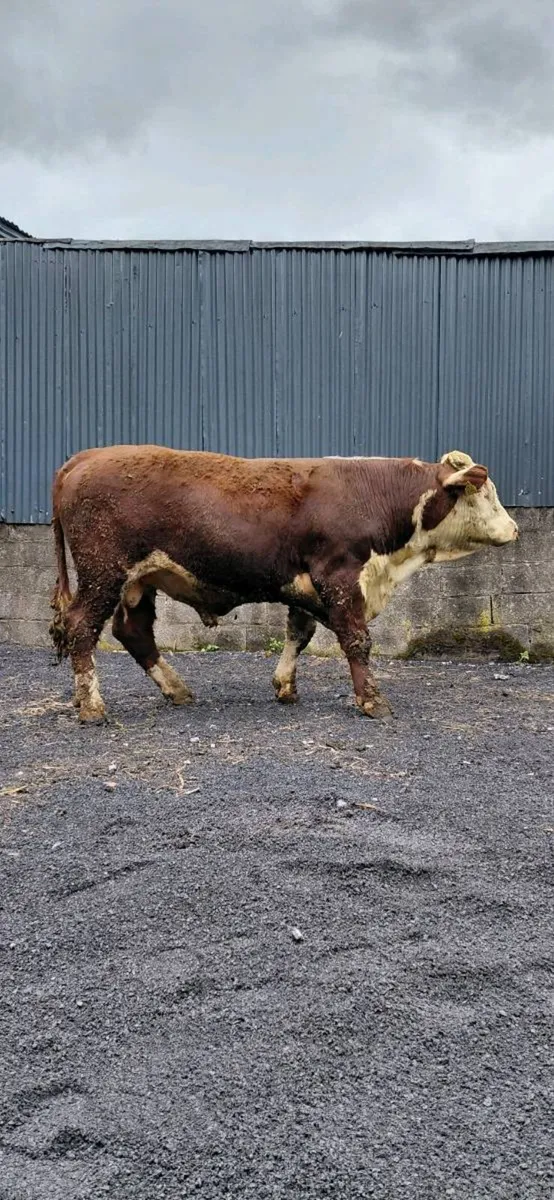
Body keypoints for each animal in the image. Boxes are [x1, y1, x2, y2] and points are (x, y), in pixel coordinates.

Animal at [49, 446, 518, 723]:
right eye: (485, 493)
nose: (514, 529)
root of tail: (84, 457)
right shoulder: (340, 575)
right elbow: (356, 639)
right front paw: (371, 700)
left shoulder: (304, 585)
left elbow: (300, 632)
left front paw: (286, 687)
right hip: (103, 572)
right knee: (82, 628)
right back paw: (91, 705)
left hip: (139, 580)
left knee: (133, 631)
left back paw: (175, 689)